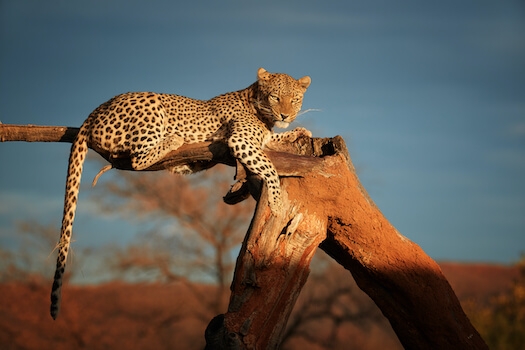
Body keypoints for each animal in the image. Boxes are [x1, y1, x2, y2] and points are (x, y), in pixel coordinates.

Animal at [50, 67, 310, 318]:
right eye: (275, 97)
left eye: (295, 99)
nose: (285, 116)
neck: (259, 107)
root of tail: (97, 109)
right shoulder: (240, 140)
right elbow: (269, 166)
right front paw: (276, 202)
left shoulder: (260, 139)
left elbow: (273, 140)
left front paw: (298, 132)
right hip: (152, 105)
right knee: (137, 159)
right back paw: (173, 139)